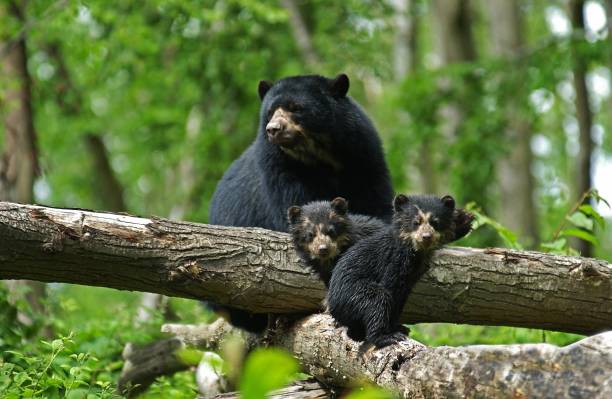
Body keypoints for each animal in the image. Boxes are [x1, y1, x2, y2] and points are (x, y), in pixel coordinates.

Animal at [208, 73, 394, 332]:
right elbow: (300, 210)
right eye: (270, 112)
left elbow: (376, 202)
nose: (273, 129)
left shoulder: (363, 155)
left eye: (296, 108)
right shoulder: (280, 170)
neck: (320, 156)